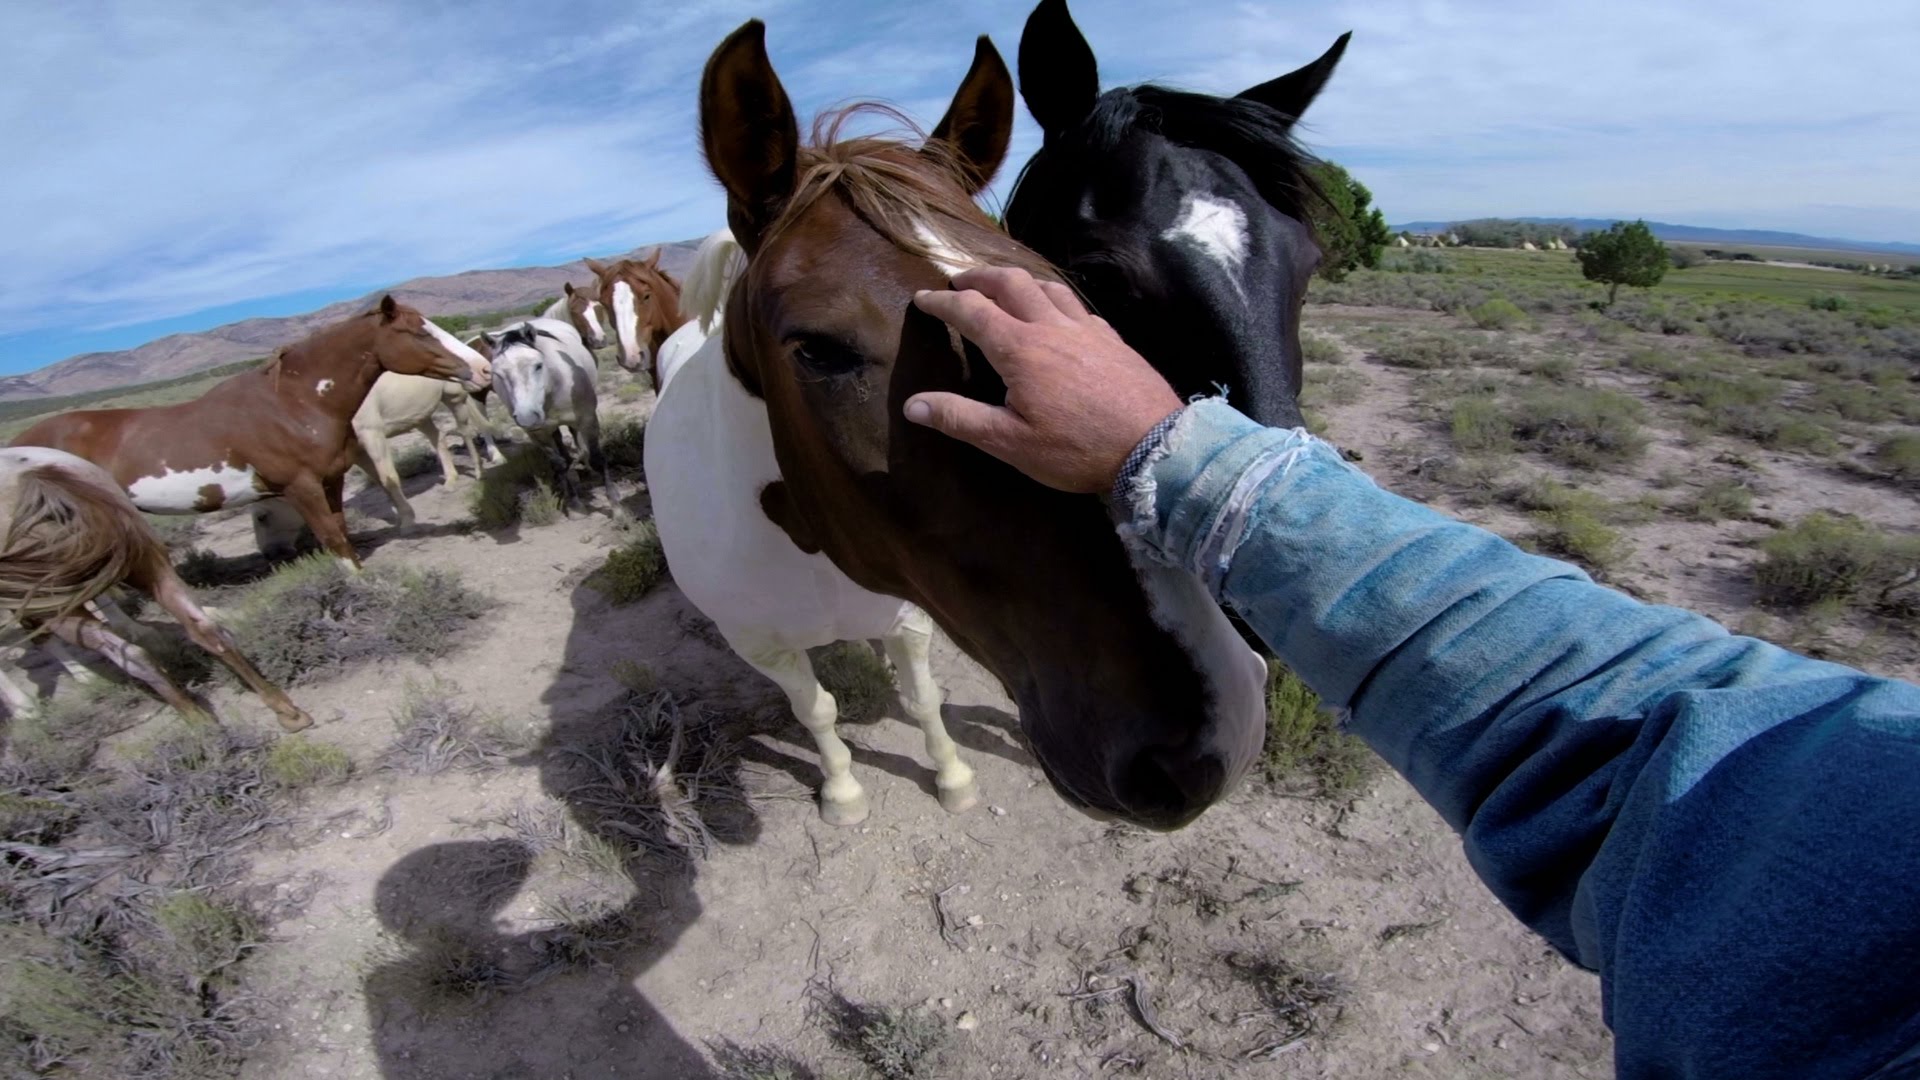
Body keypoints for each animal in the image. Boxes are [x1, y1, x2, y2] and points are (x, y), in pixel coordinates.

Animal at [12, 292, 491, 564]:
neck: (291, 405)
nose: (483, 368)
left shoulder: (331, 479)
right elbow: (334, 536)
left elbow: (342, 528)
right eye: (419, 332)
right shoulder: (301, 487)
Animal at [645, 224, 975, 814]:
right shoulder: (757, 643)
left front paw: (952, 775)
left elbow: (922, 698)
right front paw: (842, 791)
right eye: (819, 351)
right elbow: (816, 710)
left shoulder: (909, 615)